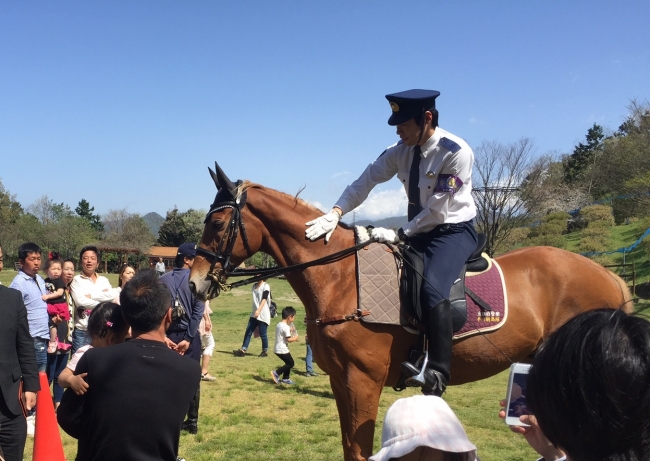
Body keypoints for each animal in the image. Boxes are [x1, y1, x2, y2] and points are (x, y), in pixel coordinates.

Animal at [190, 165, 632, 460]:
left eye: (217, 223)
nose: (194, 284)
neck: (340, 277)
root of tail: (609, 275)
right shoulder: (342, 382)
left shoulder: (362, 381)